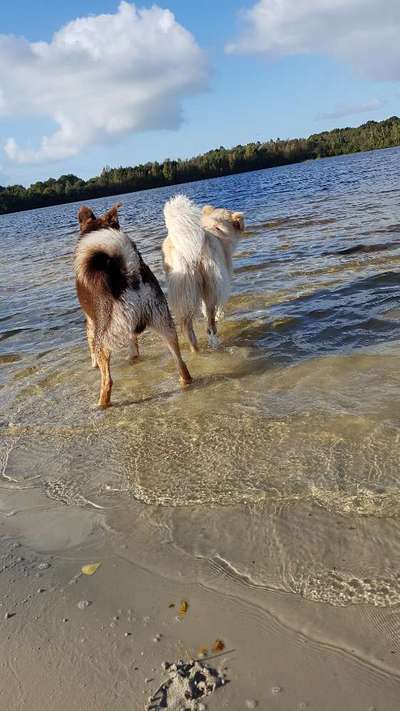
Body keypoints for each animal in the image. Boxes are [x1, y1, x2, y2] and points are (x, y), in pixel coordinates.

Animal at [75, 203, 194, 408]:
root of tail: (129, 275)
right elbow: (134, 345)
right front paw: (133, 357)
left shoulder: (91, 322)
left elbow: (90, 349)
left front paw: (93, 364)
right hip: (165, 323)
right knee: (181, 364)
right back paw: (185, 382)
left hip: (104, 339)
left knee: (107, 381)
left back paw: (100, 405)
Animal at [162, 195, 244, 350]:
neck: (216, 226)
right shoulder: (221, 280)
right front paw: (219, 315)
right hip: (210, 285)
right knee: (210, 322)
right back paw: (213, 339)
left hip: (183, 289)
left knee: (188, 327)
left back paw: (195, 349)